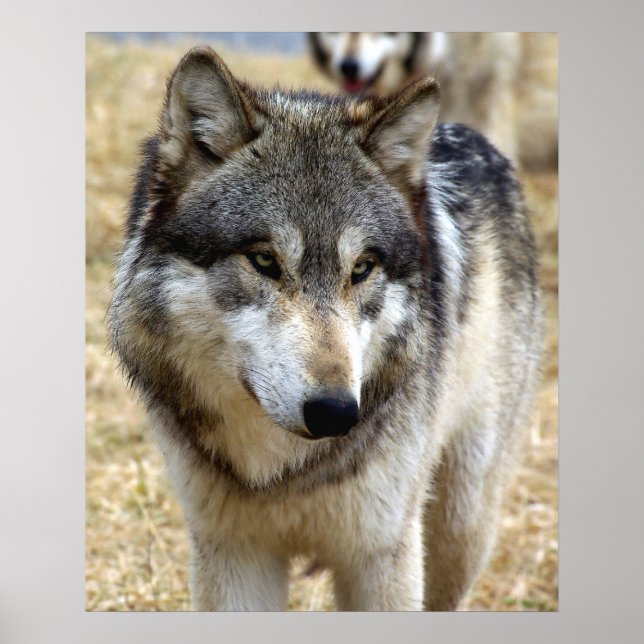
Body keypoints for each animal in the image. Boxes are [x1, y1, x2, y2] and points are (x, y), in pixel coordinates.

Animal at [108, 46, 543, 611]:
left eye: (361, 269)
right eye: (264, 260)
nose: (336, 413)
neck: (283, 469)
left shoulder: (382, 557)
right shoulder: (234, 556)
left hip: (460, 526)